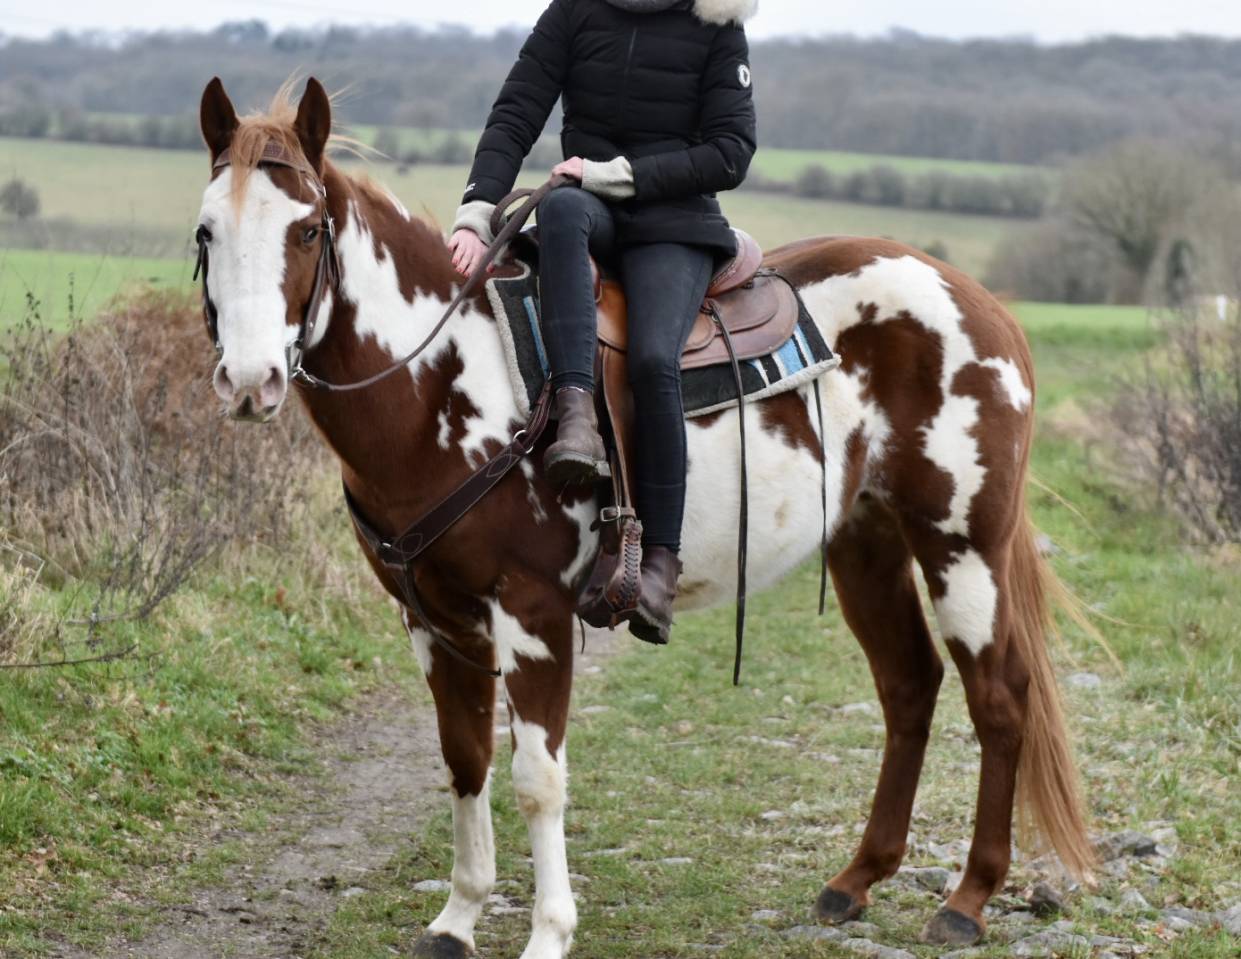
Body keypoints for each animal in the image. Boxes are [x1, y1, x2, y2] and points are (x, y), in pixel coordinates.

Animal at [195, 76, 1094, 959]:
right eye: (207, 231)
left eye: (308, 228)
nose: (248, 380)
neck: (446, 381)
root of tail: (973, 299)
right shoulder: (432, 619)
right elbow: (464, 760)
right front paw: (457, 918)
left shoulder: (532, 613)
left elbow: (536, 779)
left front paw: (548, 933)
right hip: (865, 543)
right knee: (909, 685)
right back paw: (854, 880)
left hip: (960, 542)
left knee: (998, 696)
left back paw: (968, 899)